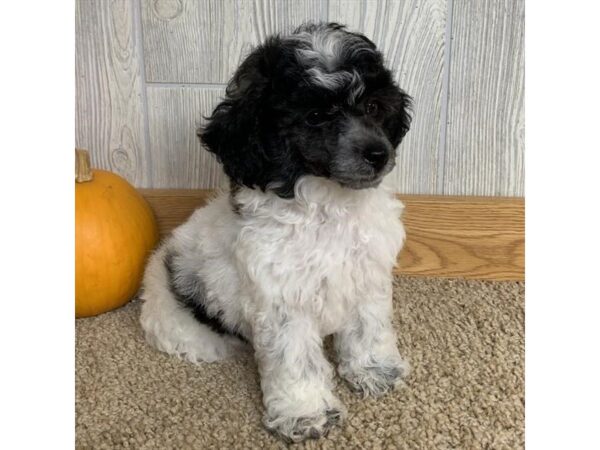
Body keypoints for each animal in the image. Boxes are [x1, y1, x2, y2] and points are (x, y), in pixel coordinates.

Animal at [141, 22, 412, 442]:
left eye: (372, 107)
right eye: (315, 116)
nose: (377, 154)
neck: (328, 203)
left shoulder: (367, 274)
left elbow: (369, 325)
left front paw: (374, 370)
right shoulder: (283, 301)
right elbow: (295, 359)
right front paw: (306, 412)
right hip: (184, 326)